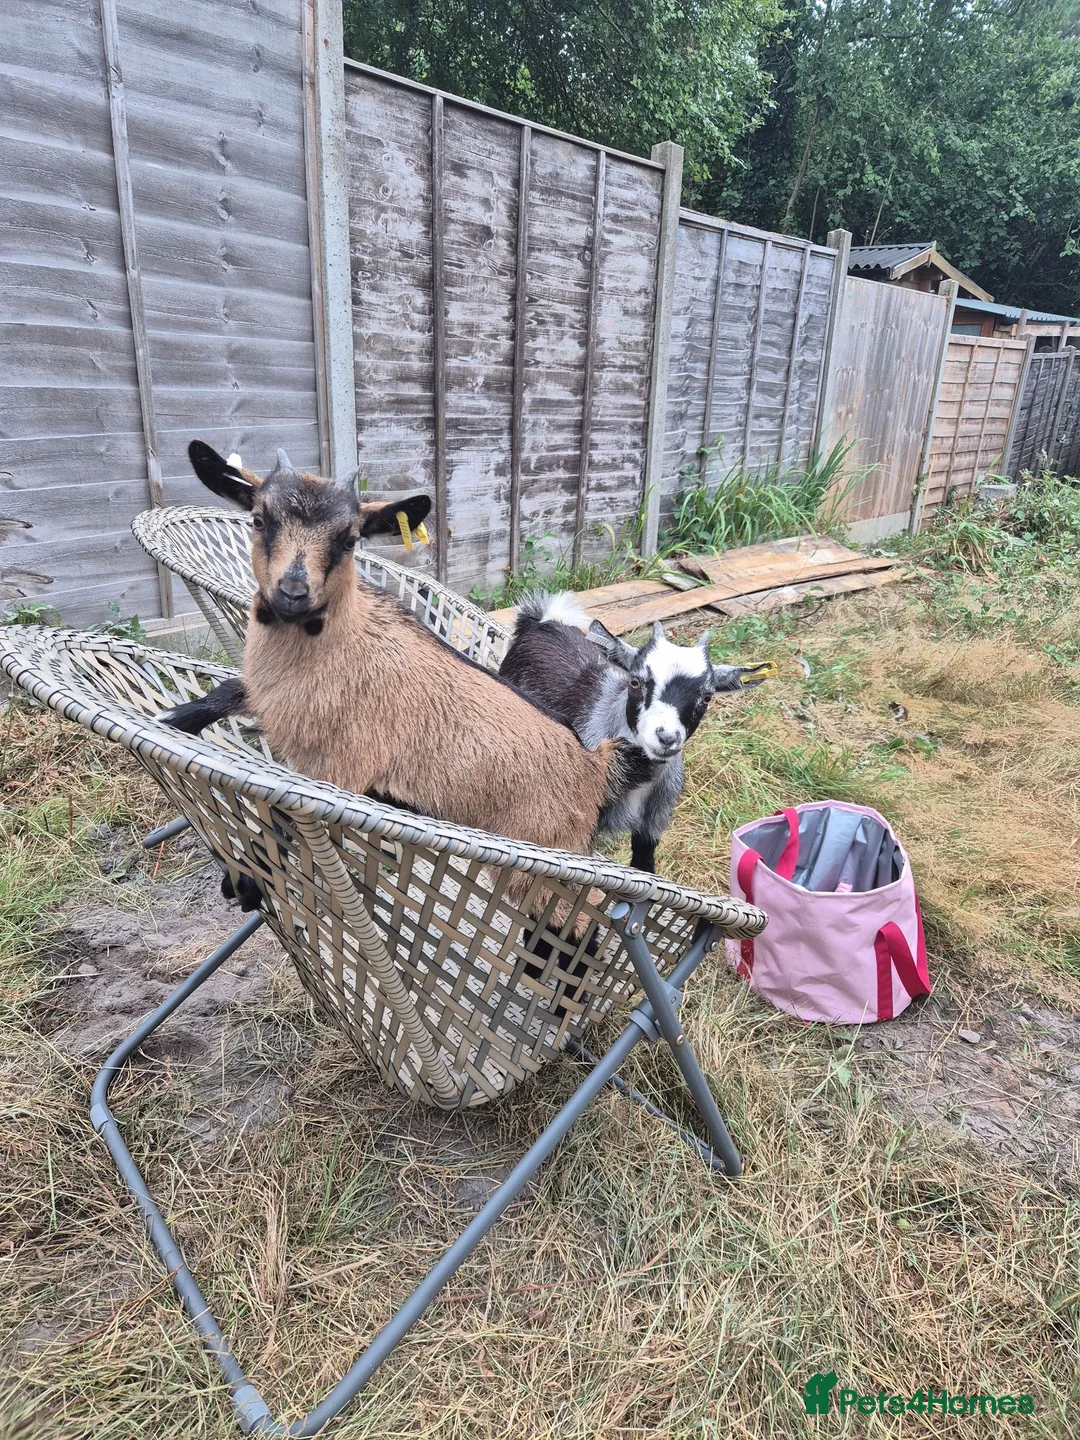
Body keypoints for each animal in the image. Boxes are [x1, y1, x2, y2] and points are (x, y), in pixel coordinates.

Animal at [162, 443, 617, 922]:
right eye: (259, 519)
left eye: (349, 539)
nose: (292, 592)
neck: (343, 645)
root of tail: (596, 764)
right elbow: (225, 693)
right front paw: (175, 717)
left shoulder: (339, 768)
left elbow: (289, 819)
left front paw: (248, 881)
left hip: (542, 866)